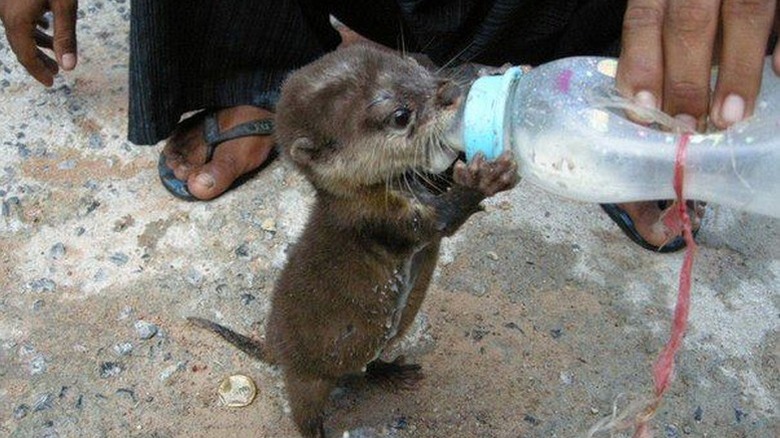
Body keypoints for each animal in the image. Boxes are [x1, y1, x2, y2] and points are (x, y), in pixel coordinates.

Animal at [189, 44, 518, 437]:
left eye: (419, 66)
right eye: (400, 115)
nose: (451, 91)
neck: (362, 192)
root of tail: (274, 347)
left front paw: (493, 72)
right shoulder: (375, 218)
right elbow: (437, 223)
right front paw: (484, 179)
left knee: (363, 365)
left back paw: (392, 371)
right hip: (305, 377)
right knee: (305, 412)